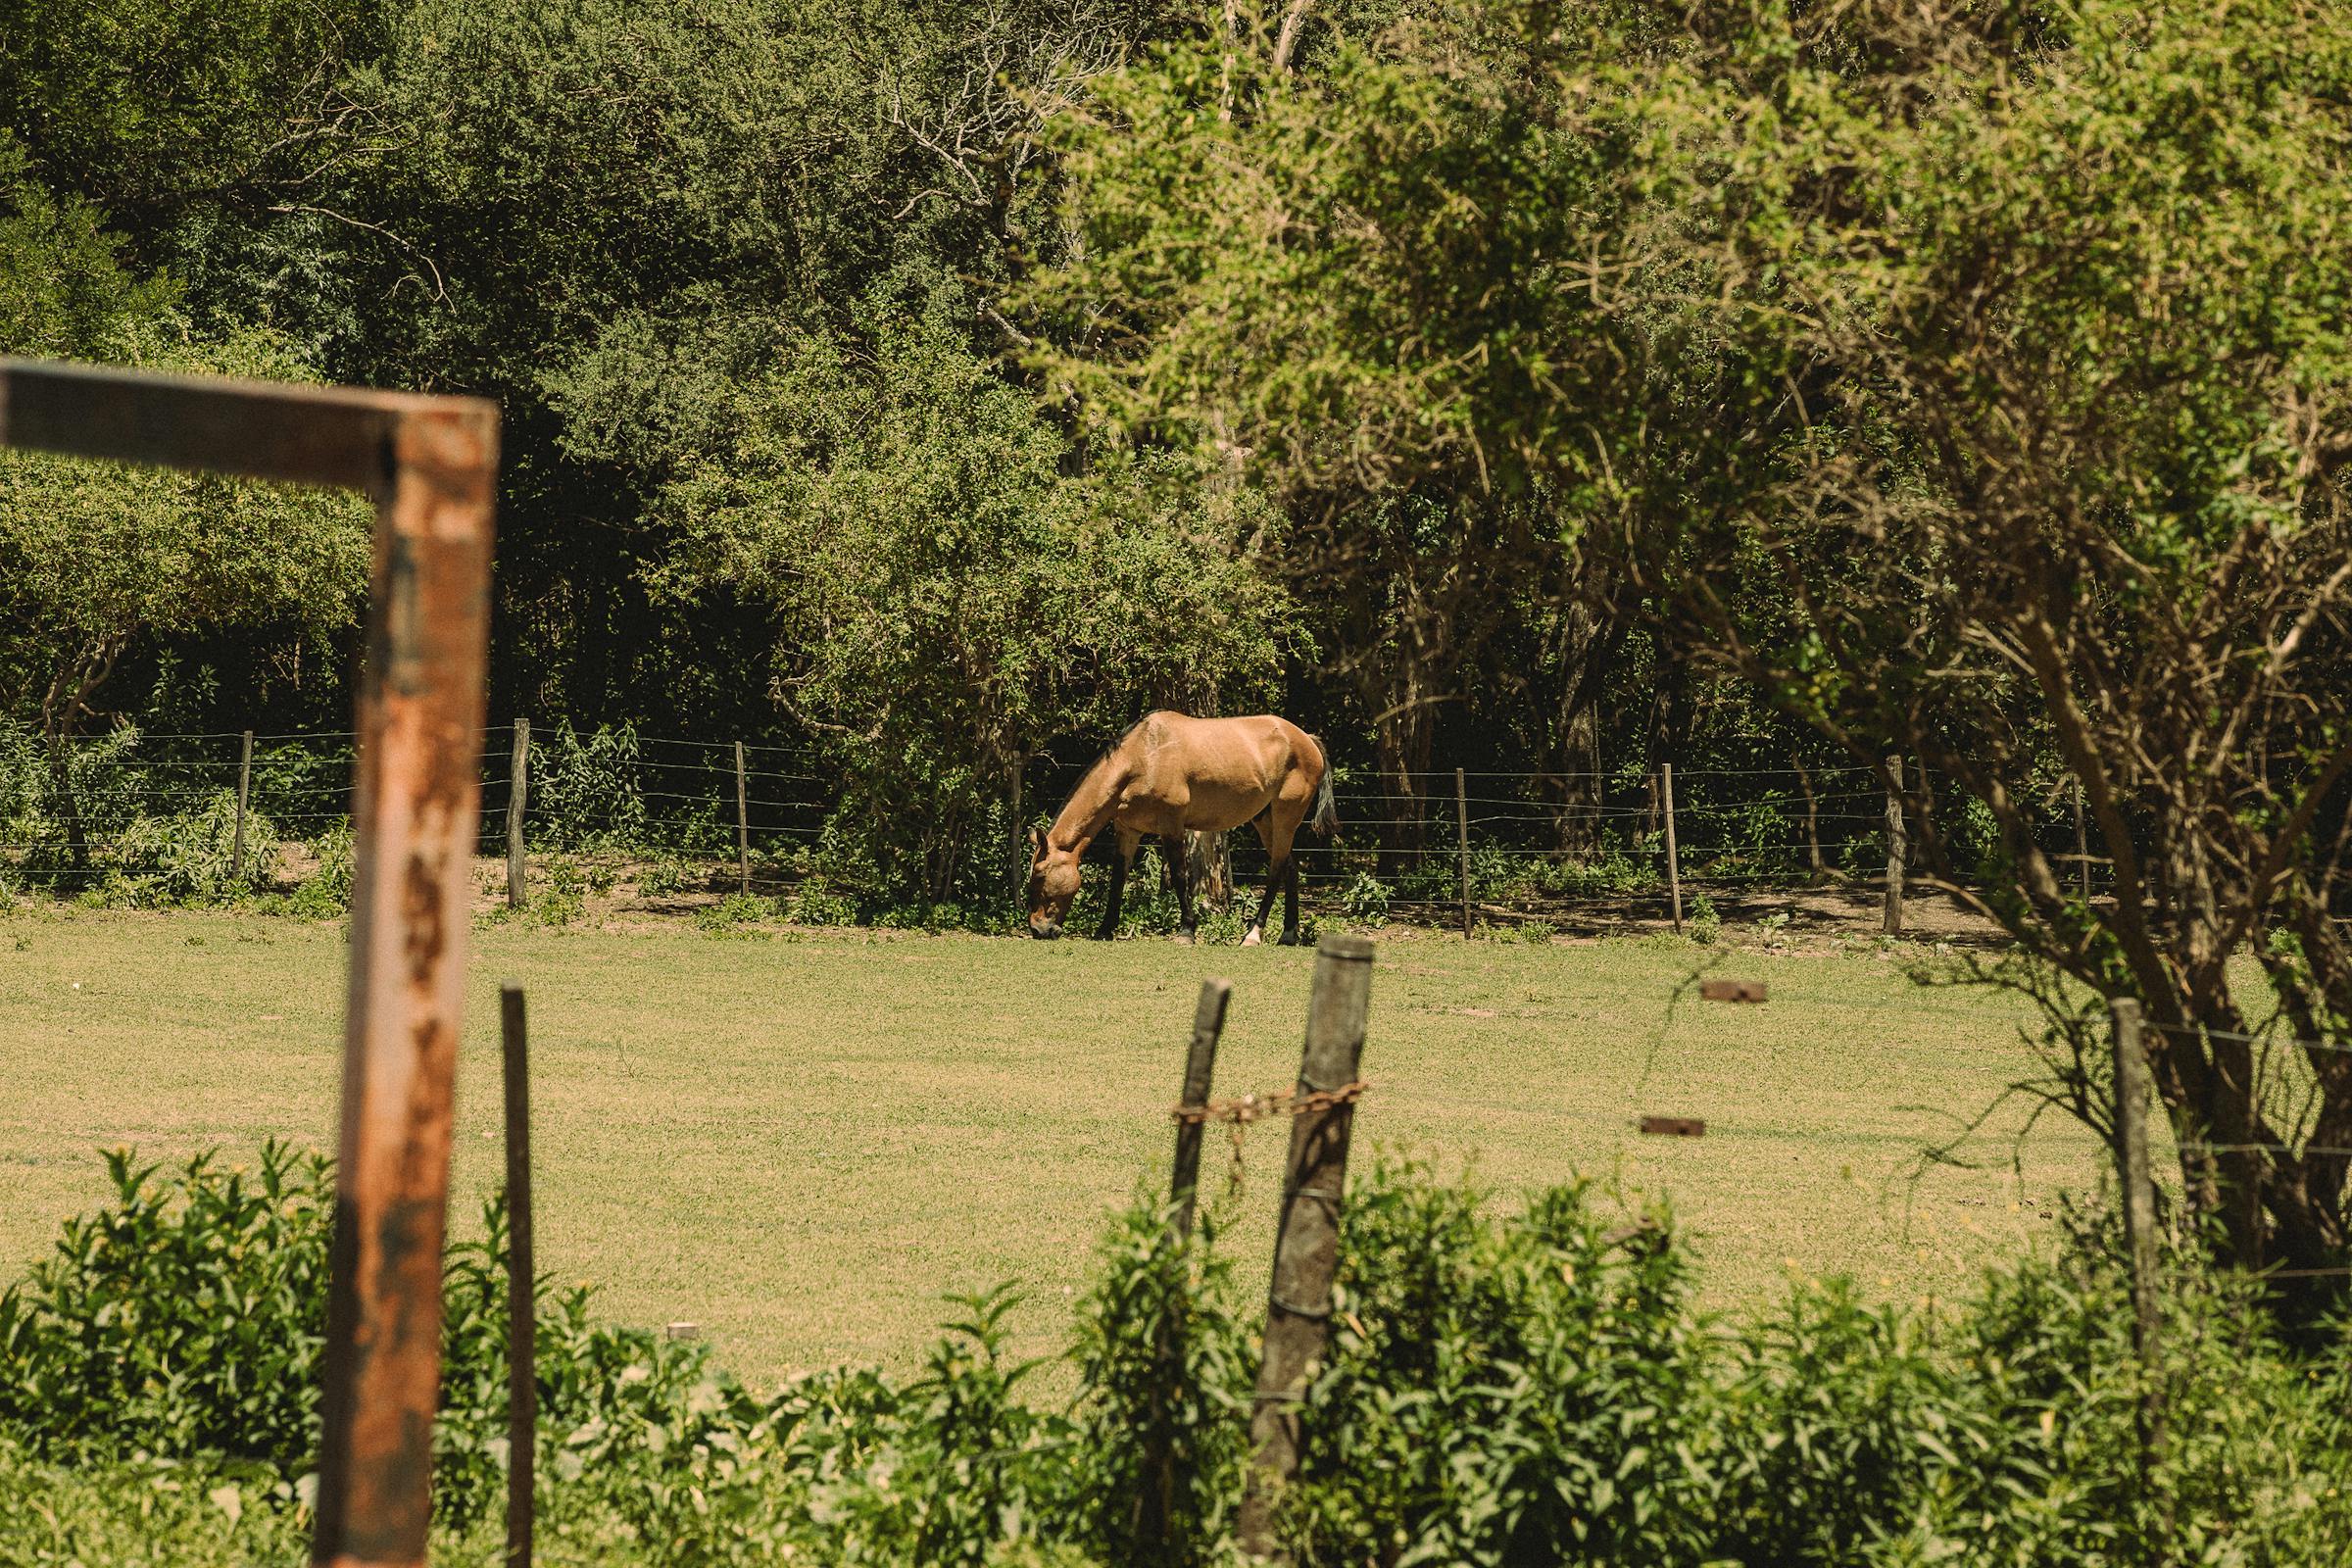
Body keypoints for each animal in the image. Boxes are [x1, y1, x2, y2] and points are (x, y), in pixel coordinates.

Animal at [1026, 711, 1338, 945]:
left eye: (1040, 875)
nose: (1038, 929)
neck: (1144, 756)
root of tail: (1307, 739)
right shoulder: (1128, 831)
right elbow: (1118, 879)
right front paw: (1105, 929)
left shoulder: (1172, 827)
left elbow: (1179, 876)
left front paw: (1187, 930)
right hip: (1265, 820)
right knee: (1290, 867)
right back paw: (1288, 934)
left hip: (1285, 816)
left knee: (1275, 872)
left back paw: (1252, 935)